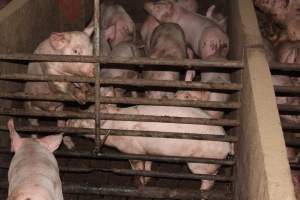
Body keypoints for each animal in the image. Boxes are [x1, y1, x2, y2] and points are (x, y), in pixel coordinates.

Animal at [67, 104, 233, 191]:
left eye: (87, 120)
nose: (68, 120)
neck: (114, 127)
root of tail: (227, 145)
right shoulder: (145, 151)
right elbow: (147, 166)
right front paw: (147, 180)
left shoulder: (132, 150)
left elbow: (137, 168)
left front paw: (139, 185)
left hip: (201, 162)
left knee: (209, 180)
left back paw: (200, 191)